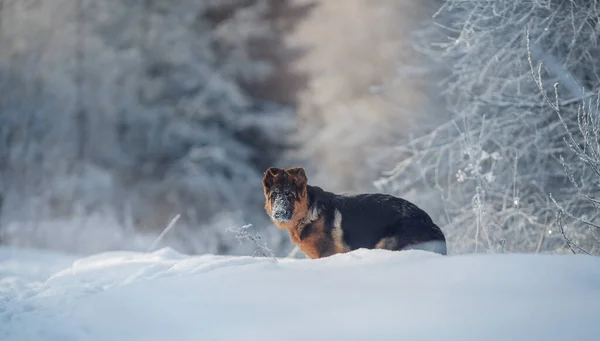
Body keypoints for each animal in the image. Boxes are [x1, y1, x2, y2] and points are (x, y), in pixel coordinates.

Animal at [262, 167, 446, 258]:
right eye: (274, 196)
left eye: (289, 195)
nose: (279, 213)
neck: (308, 212)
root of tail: (432, 225)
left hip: (385, 244)